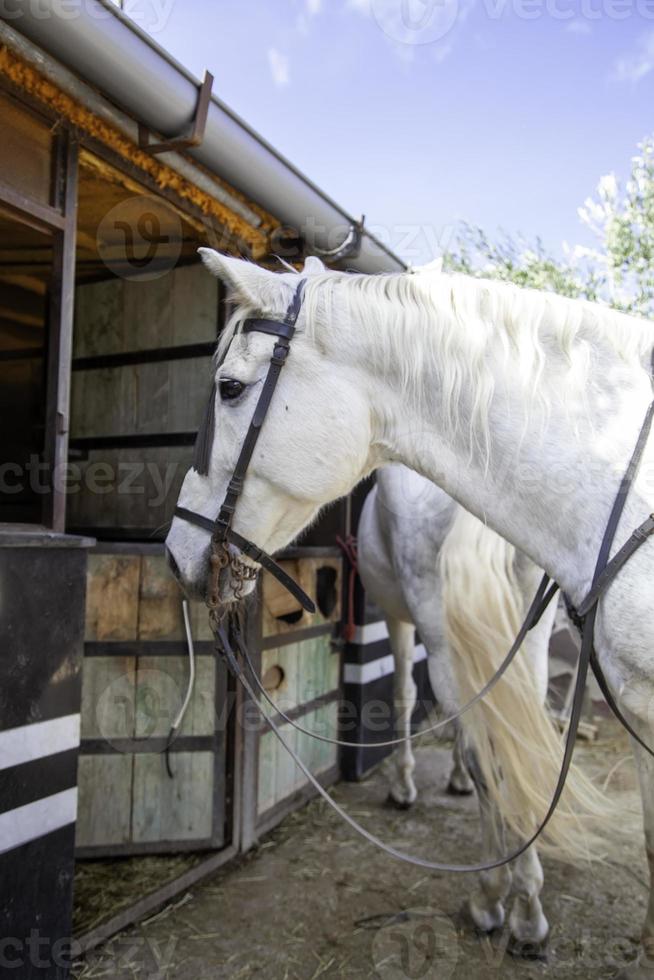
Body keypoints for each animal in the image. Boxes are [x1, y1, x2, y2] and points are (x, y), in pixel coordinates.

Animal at [169, 251, 654, 972]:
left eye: (229, 387)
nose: (176, 553)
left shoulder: (404, 622)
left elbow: (403, 695)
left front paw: (406, 785)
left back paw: (499, 901)